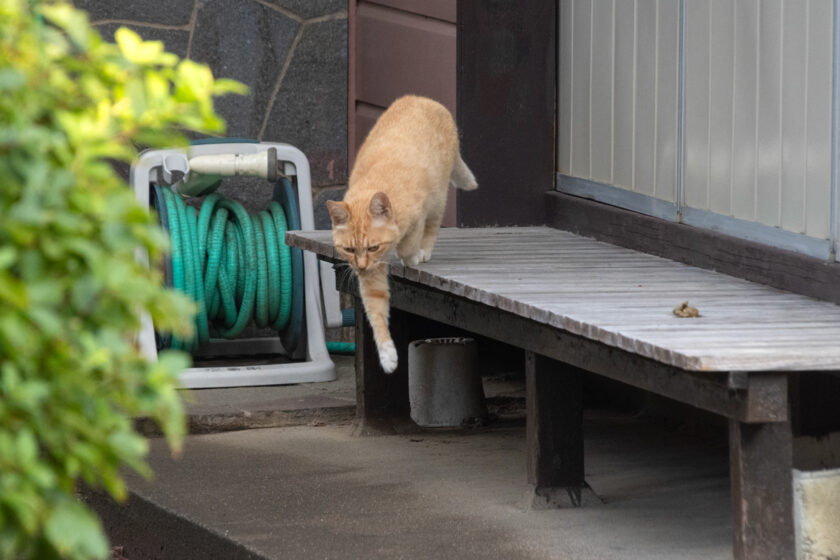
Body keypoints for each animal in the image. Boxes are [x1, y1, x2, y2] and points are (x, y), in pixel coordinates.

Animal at [326, 96, 476, 374]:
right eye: (349, 250)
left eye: (373, 247)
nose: (360, 267)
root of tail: (424, 99)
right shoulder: (371, 276)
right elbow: (376, 313)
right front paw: (387, 356)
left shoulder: (417, 215)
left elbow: (409, 244)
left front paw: (413, 257)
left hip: (439, 195)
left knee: (433, 224)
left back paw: (424, 251)